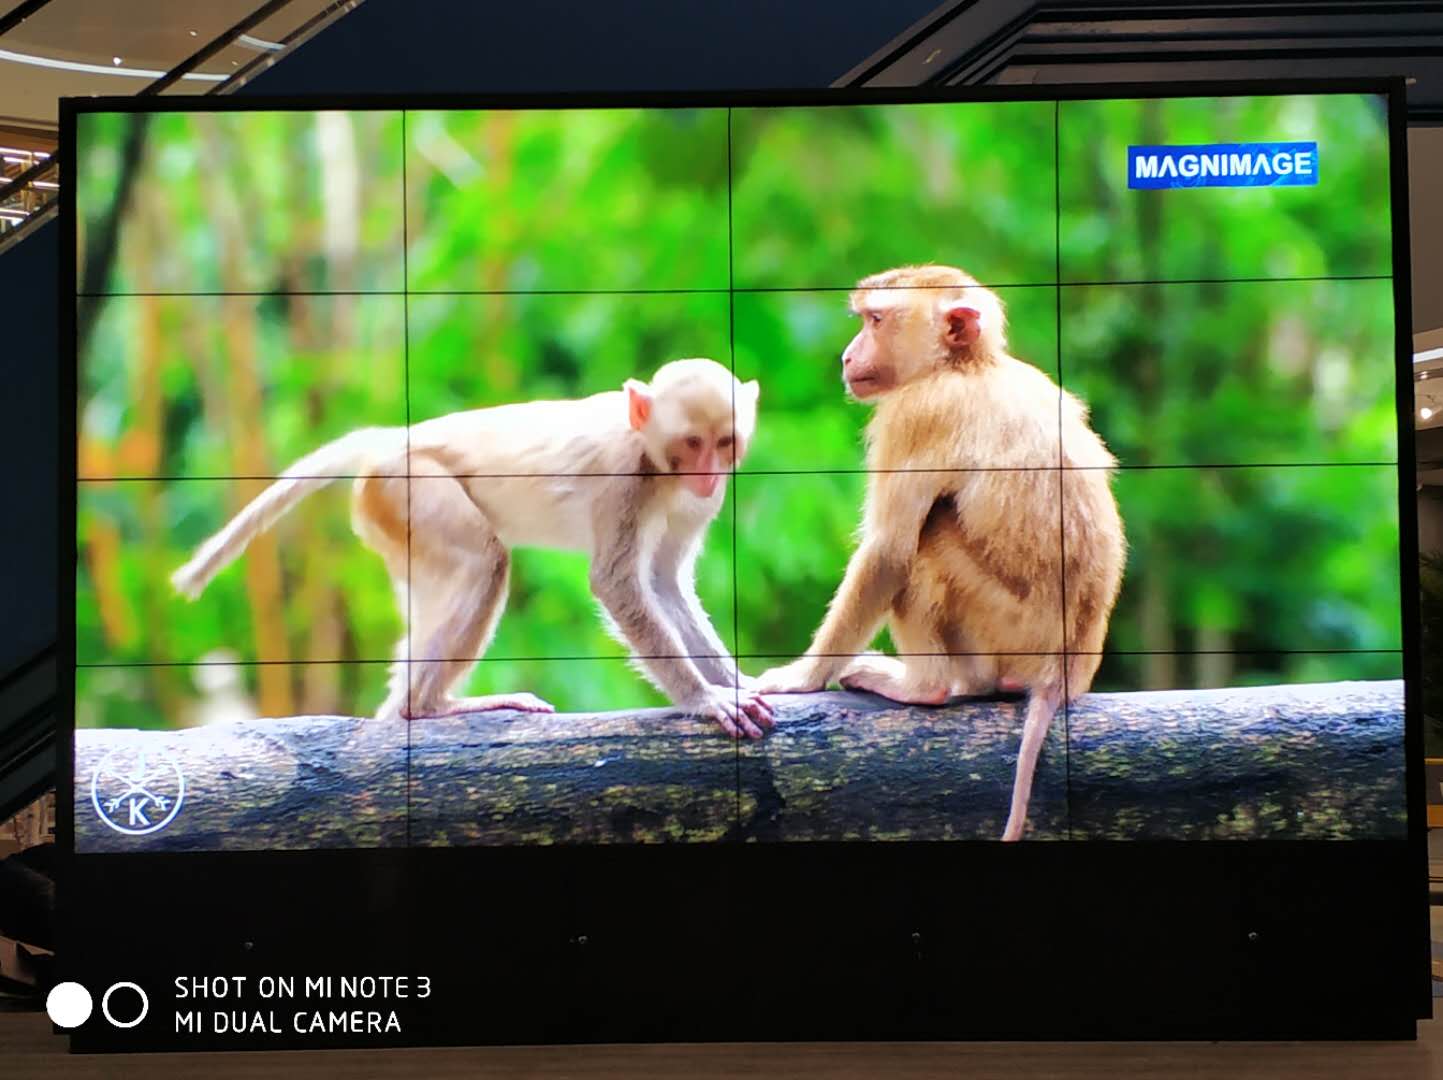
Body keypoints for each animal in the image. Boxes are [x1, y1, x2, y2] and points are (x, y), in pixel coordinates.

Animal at [173, 358, 779, 739]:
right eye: (692, 442)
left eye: (724, 442)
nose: (706, 473)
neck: (660, 467)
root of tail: (394, 439)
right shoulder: (624, 480)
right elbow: (617, 582)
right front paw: (704, 698)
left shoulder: (699, 501)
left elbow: (664, 581)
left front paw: (736, 681)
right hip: (410, 488)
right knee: (482, 561)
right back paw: (426, 707)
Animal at [756, 265, 1125, 837]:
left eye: (875, 320)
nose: (846, 356)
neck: (967, 365)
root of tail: (1063, 674)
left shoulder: (915, 415)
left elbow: (889, 552)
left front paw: (801, 678)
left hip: (1004, 631)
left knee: (926, 542)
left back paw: (924, 686)